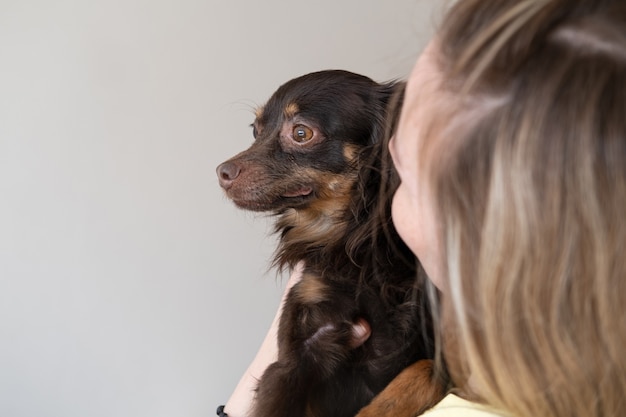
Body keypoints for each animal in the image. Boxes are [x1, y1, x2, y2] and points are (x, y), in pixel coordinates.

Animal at [218, 70, 444, 416]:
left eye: (301, 133)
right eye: (255, 131)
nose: (222, 173)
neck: (354, 241)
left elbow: (423, 372)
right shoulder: (297, 355)